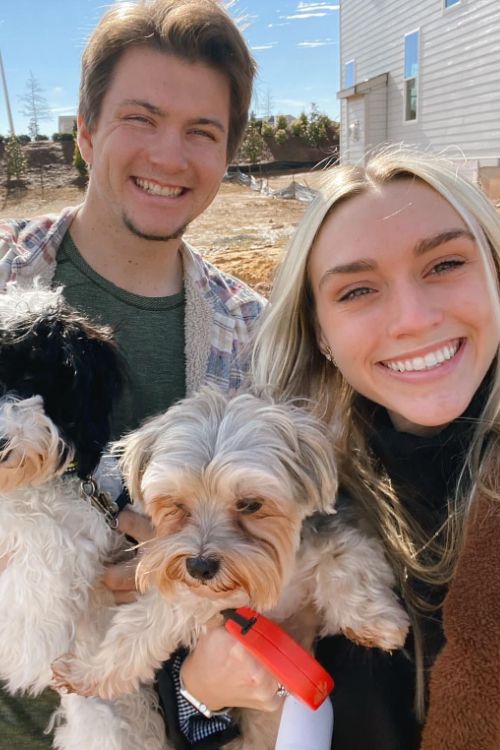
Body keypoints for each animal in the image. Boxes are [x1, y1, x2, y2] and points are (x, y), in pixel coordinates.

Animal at [52, 390, 408, 748]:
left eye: (251, 504)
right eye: (176, 504)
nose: (200, 566)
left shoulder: (340, 535)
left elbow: (348, 559)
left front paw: (377, 622)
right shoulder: (195, 593)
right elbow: (140, 628)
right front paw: (88, 670)